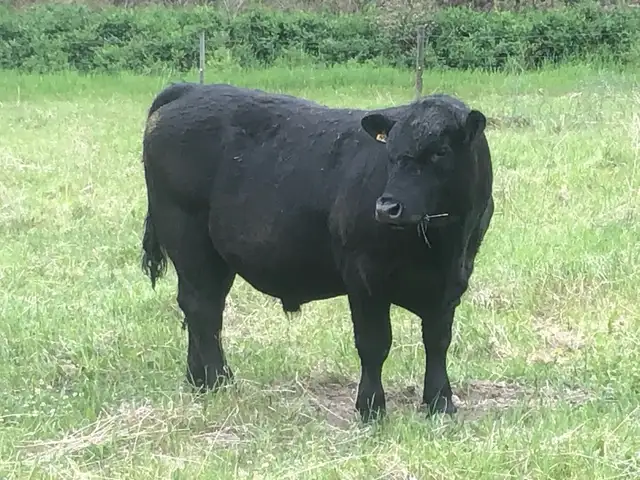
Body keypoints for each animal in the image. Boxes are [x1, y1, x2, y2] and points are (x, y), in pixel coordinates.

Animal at [140, 82, 494, 422]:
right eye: (391, 153)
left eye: (440, 152)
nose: (387, 207)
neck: (439, 245)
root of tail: (191, 89)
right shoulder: (363, 276)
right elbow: (374, 344)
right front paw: (371, 408)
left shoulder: (453, 280)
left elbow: (437, 341)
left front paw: (440, 403)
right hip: (187, 236)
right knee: (202, 307)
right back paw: (218, 381)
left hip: (216, 255)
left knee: (202, 306)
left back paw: (199, 379)